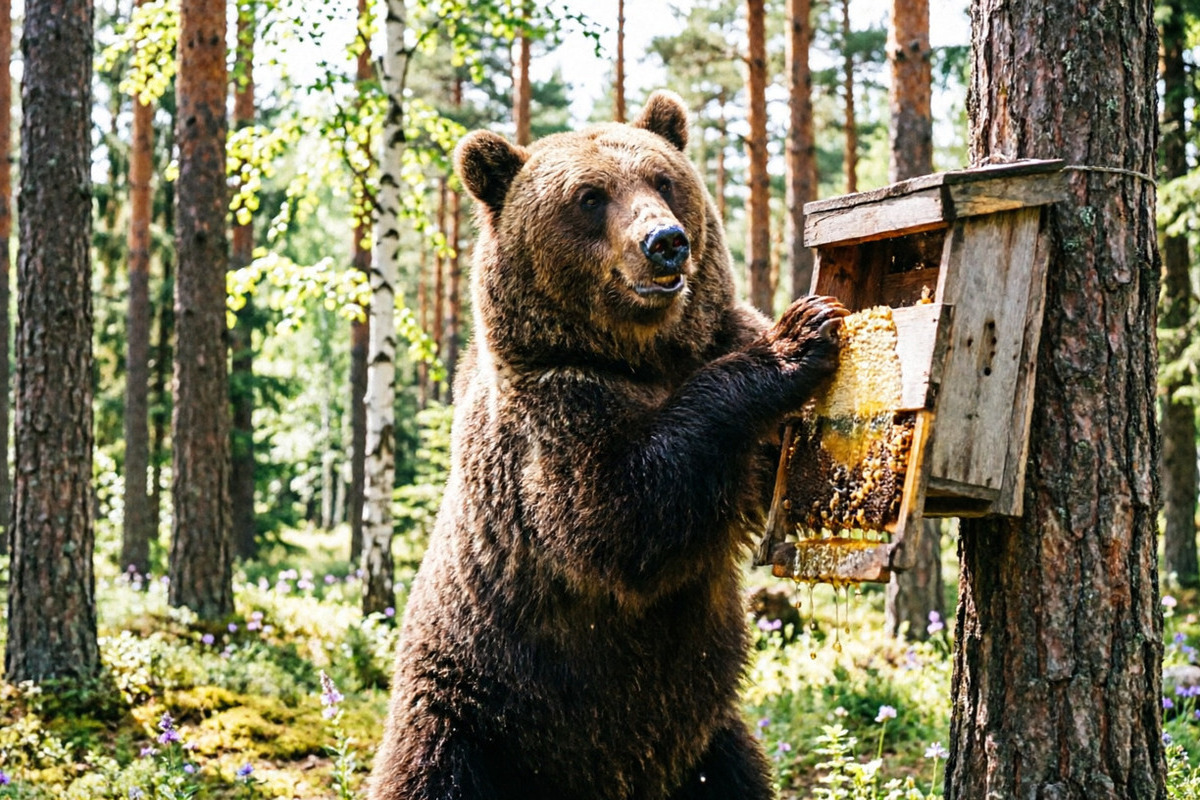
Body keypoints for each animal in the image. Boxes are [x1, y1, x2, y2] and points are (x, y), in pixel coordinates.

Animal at [367, 90, 847, 800]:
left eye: (663, 180)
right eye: (590, 197)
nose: (666, 243)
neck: (642, 356)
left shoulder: (712, 341)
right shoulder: (549, 417)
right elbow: (622, 513)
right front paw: (797, 336)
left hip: (705, 739)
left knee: (735, 774)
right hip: (470, 712)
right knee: (431, 772)